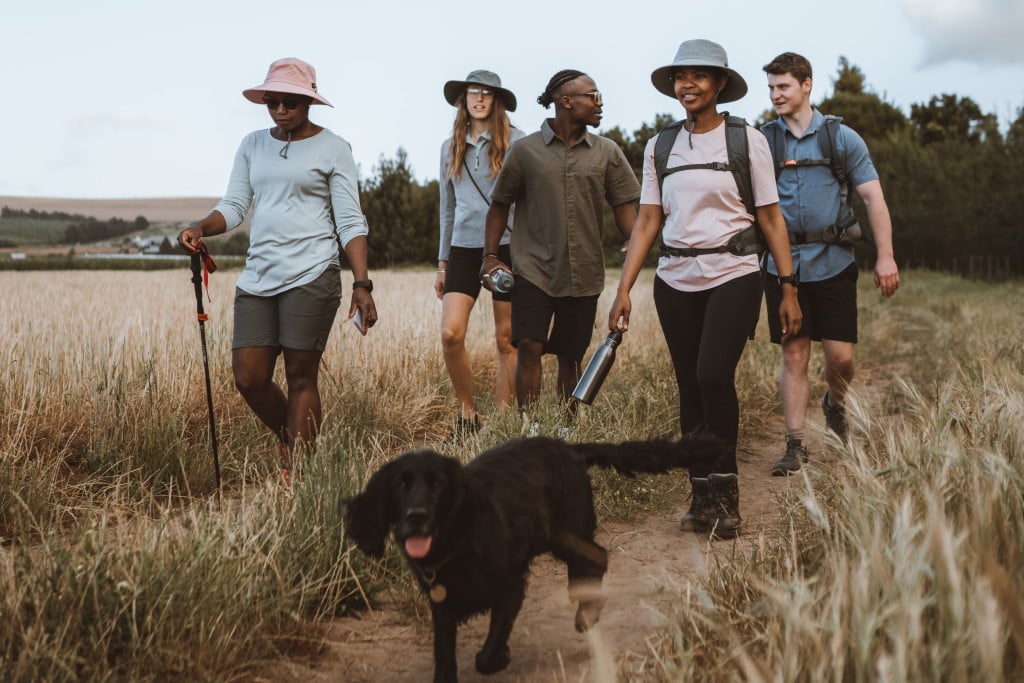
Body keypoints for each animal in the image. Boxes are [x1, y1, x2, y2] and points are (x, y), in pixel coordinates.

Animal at [344, 436, 720, 679]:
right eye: (401, 485)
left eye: (437, 484)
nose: (416, 517)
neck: (456, 540)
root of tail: (570, 448)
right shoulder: (442, 604)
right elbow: (444, 658)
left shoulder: (510, 585)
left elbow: (488, 650)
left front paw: (499, 657)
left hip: (562, 532)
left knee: (596, 557)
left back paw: (587, 608)